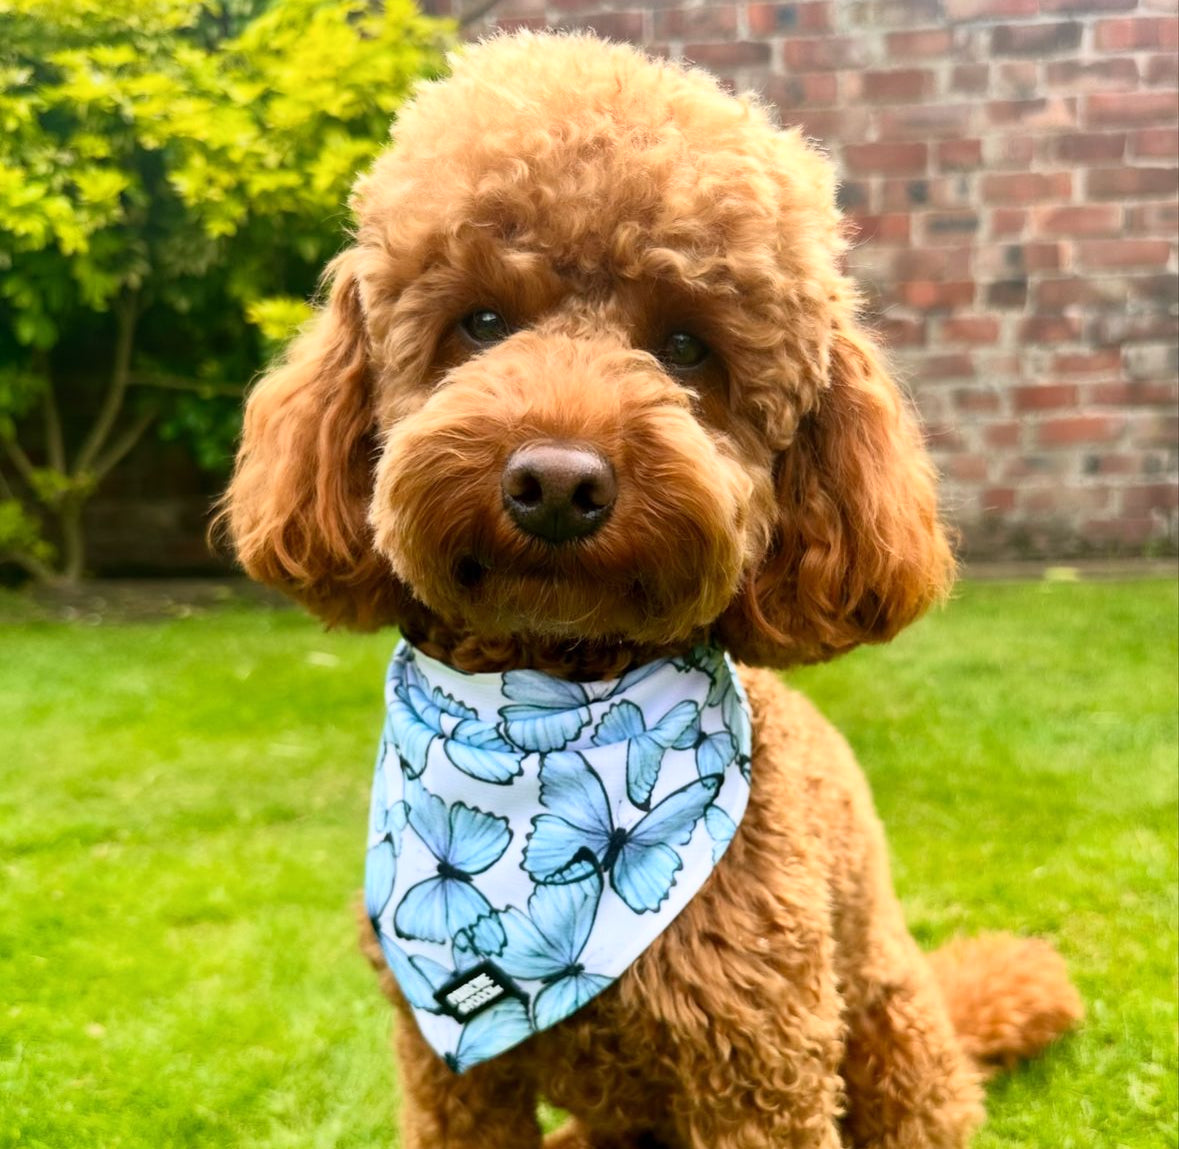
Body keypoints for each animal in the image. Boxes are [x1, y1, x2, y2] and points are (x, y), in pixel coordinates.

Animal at [225, 31, 1079, 1145]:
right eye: (481, 322)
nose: (556, 483)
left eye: (684, 346)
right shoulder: (452, 1074)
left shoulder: (757, 1064)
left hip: (892, 1044)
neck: (548, 703)